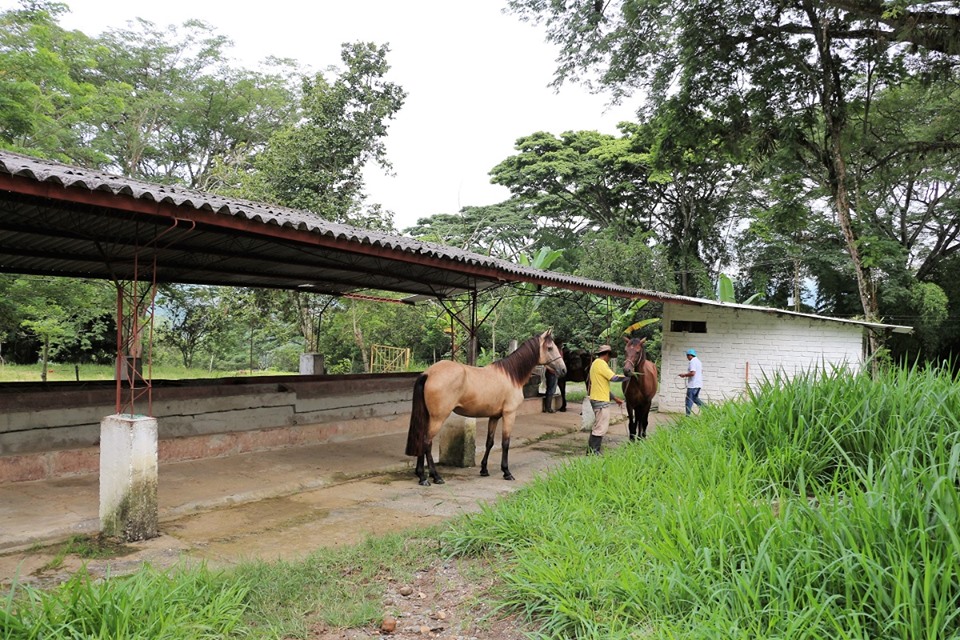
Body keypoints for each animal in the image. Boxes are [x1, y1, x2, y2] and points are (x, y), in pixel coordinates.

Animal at [405, 330, 567, 486]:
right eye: (550, 348)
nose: (564, 370)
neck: (511, 375)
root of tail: (428, 373)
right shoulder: (509, 414)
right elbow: (505, 443)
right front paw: (506, 472)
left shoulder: (494, 416)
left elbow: (490, 442)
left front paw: (484, 469)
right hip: (438, 418)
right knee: (426, 442)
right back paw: (432, 477)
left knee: (422, 441)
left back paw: (422, 475)